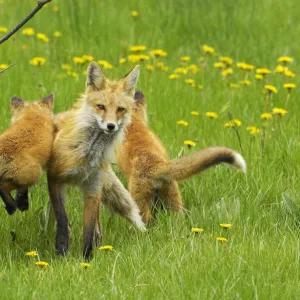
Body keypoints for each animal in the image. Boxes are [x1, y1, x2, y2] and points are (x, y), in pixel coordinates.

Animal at [47, 61, 145, 260]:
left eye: (120, 109)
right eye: (101, 106)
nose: (111, 126)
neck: (88, 155)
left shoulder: (93, 188)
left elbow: (89, 229)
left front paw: (86, 260)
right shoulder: (54, 178)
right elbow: (62, 219)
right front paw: (62, 251)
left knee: (98, 225)